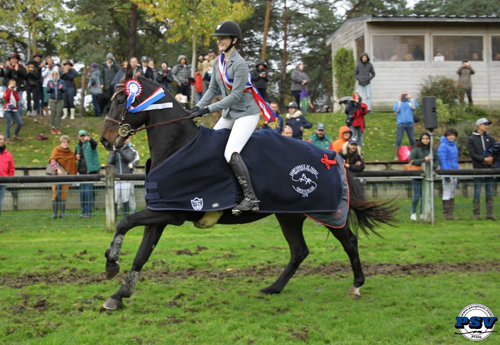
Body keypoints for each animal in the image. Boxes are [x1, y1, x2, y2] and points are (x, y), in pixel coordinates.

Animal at [99, 66, 396, 308]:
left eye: (119, 100)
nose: (104, 139)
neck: (177, 146)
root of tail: (333, 157)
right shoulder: (162, 210)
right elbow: (142, 253)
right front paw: (119, 295)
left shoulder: (171, 212)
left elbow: (124, 222)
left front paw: (111, 262)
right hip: (290, 215)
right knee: (299, 251)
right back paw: (273, 288)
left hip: (326, 211)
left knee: (349, 241)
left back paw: (356, 285)